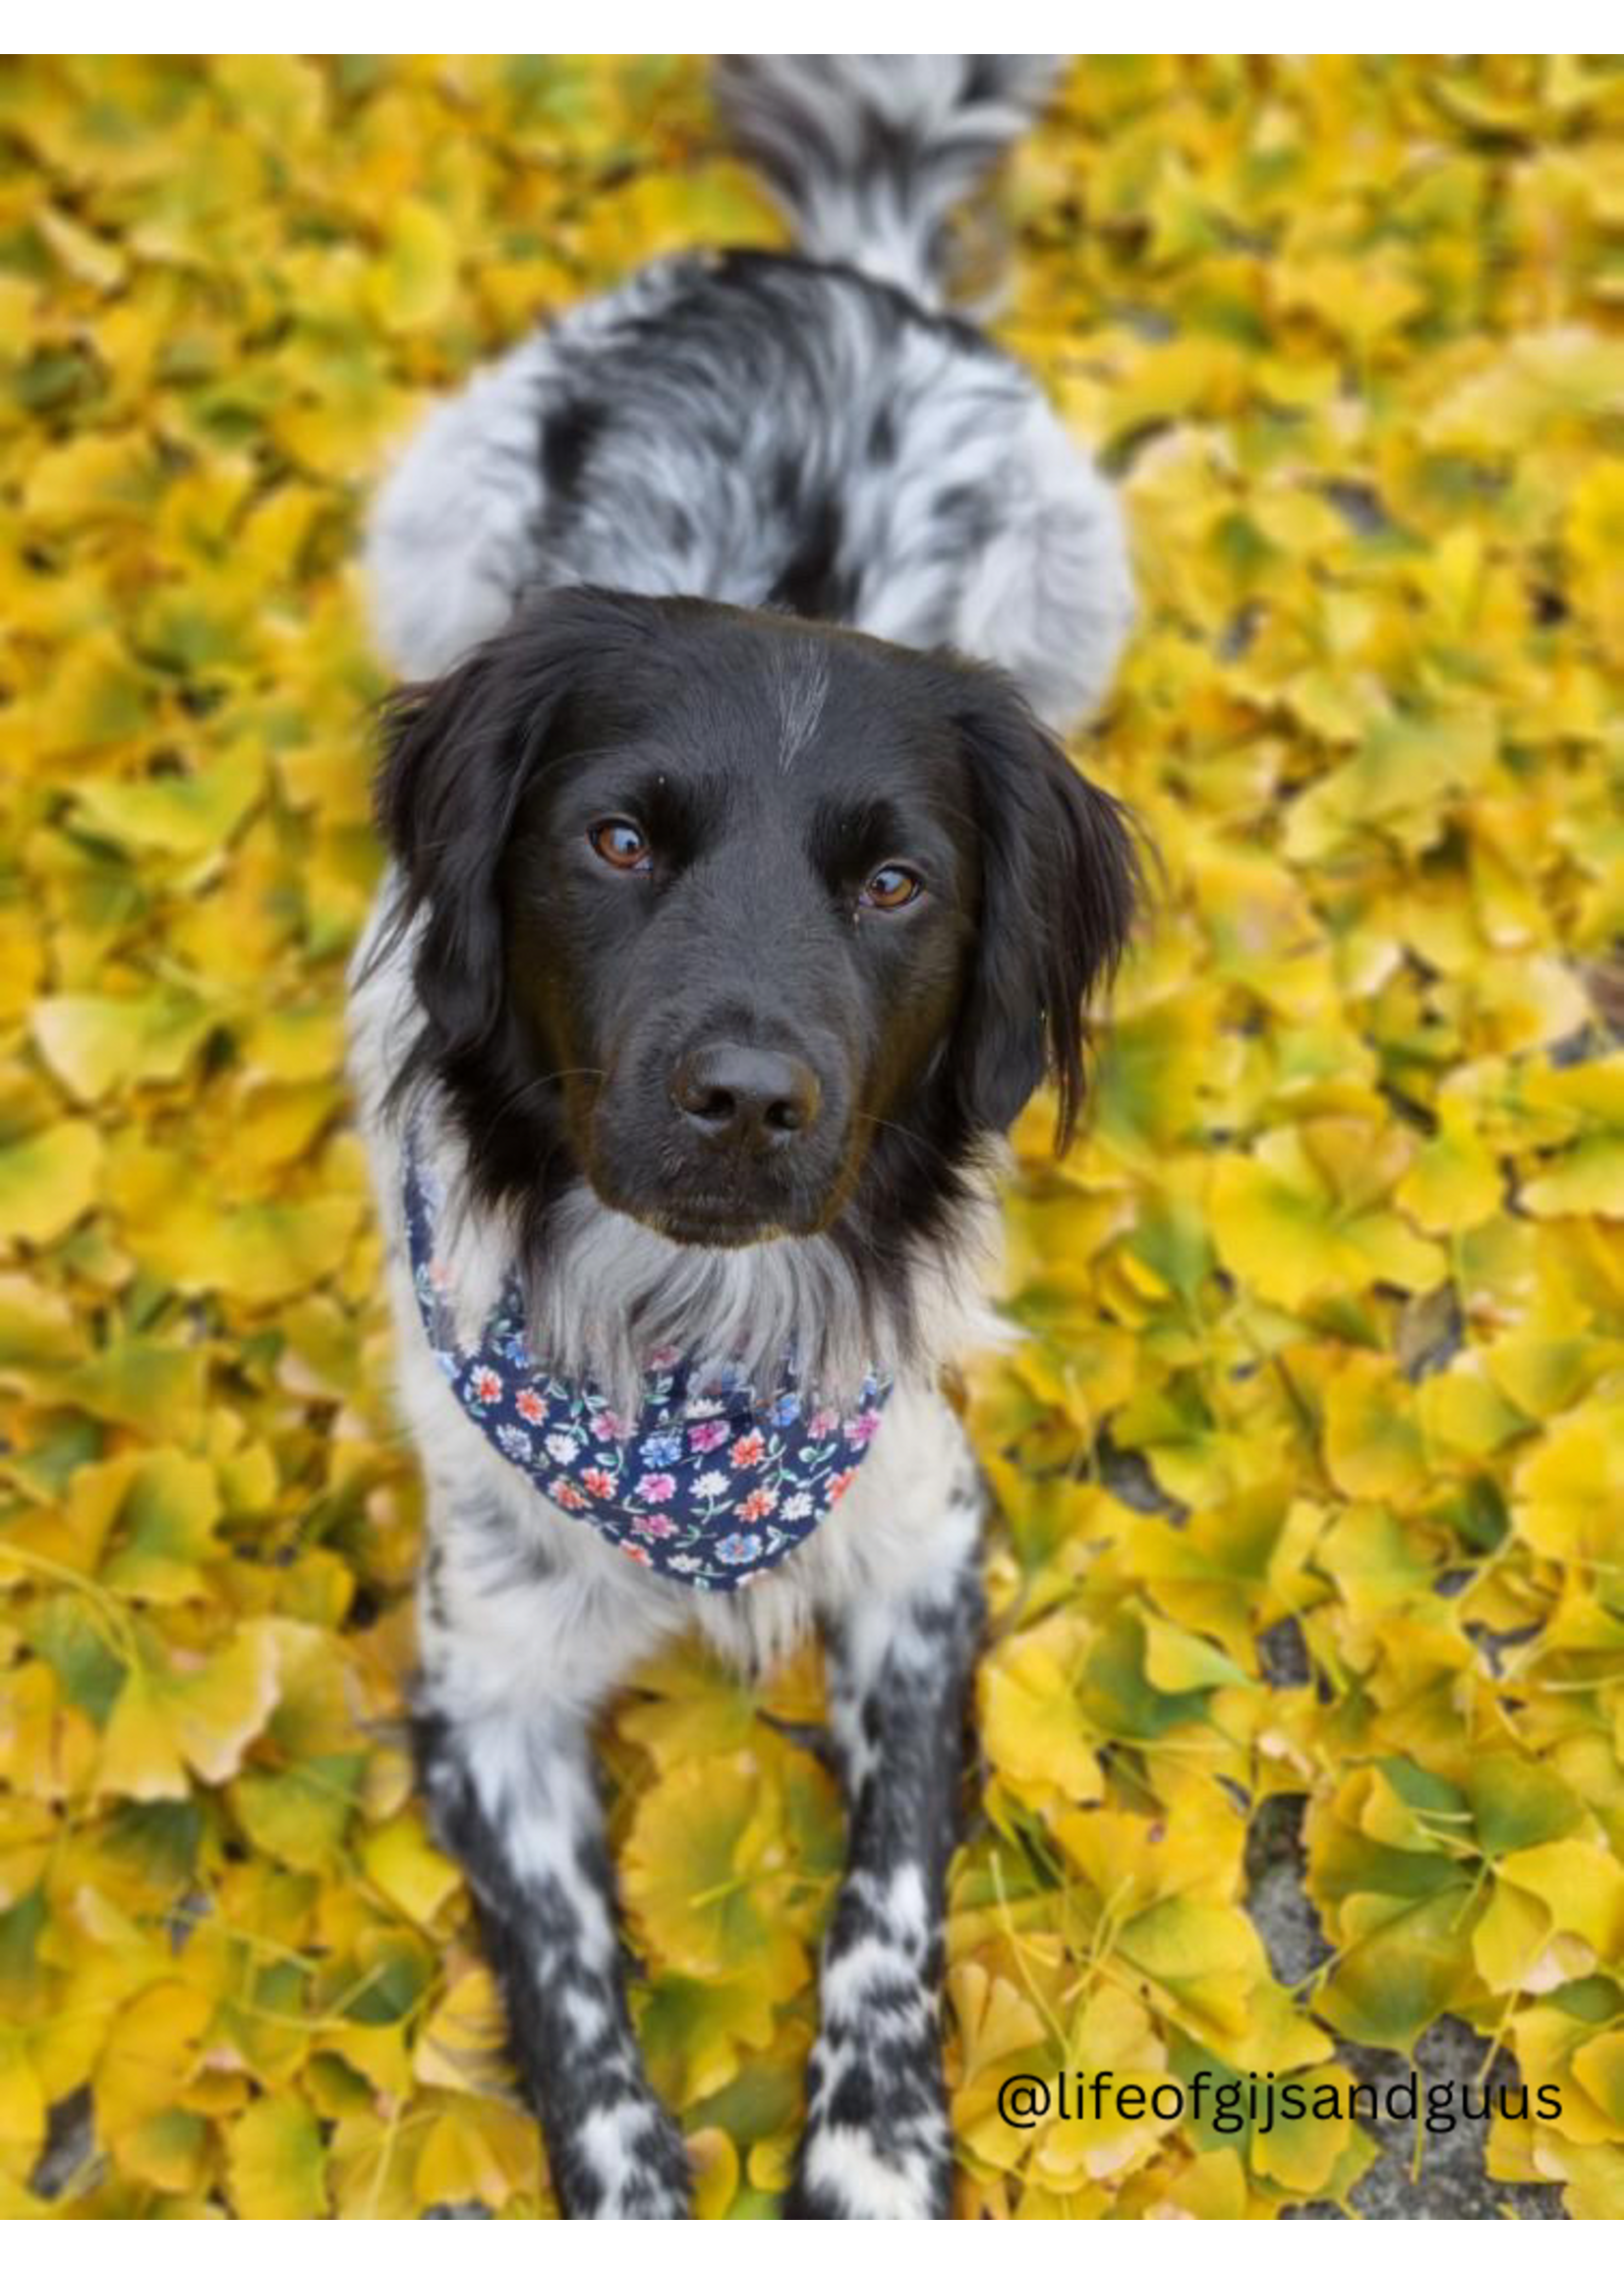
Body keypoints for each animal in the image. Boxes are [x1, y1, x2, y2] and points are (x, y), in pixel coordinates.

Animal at [350, 53, 1136, 2219]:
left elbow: (886, 1903)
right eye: (616, 838)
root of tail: (832, 271)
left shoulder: (922, 1537)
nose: (748, 1101)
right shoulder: (483, 1668)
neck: (687, 1362)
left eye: (895, 883)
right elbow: (574, 2004)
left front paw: (869, 2151)